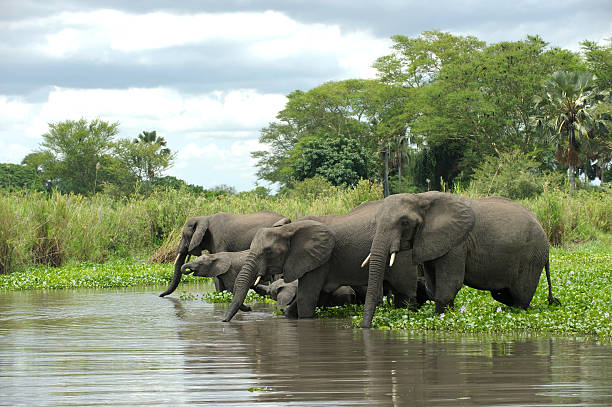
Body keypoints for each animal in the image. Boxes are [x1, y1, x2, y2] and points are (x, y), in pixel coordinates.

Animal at [224, 199, 420, 324]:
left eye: (268, 251)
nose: (224, 321)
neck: (290, 229)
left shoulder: (319, 260)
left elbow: (306, 297)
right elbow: (314, 297)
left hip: (403, 256)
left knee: (405, 291)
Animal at [360, 193, 560, 330]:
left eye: (404, 222)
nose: (365, 327)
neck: (421, 198)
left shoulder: (456, 244)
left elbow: (449, 285)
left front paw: (442, 316)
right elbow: (433, 288)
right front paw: (445, 314)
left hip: (531, 257)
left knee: (521, 296)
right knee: (501, 294)